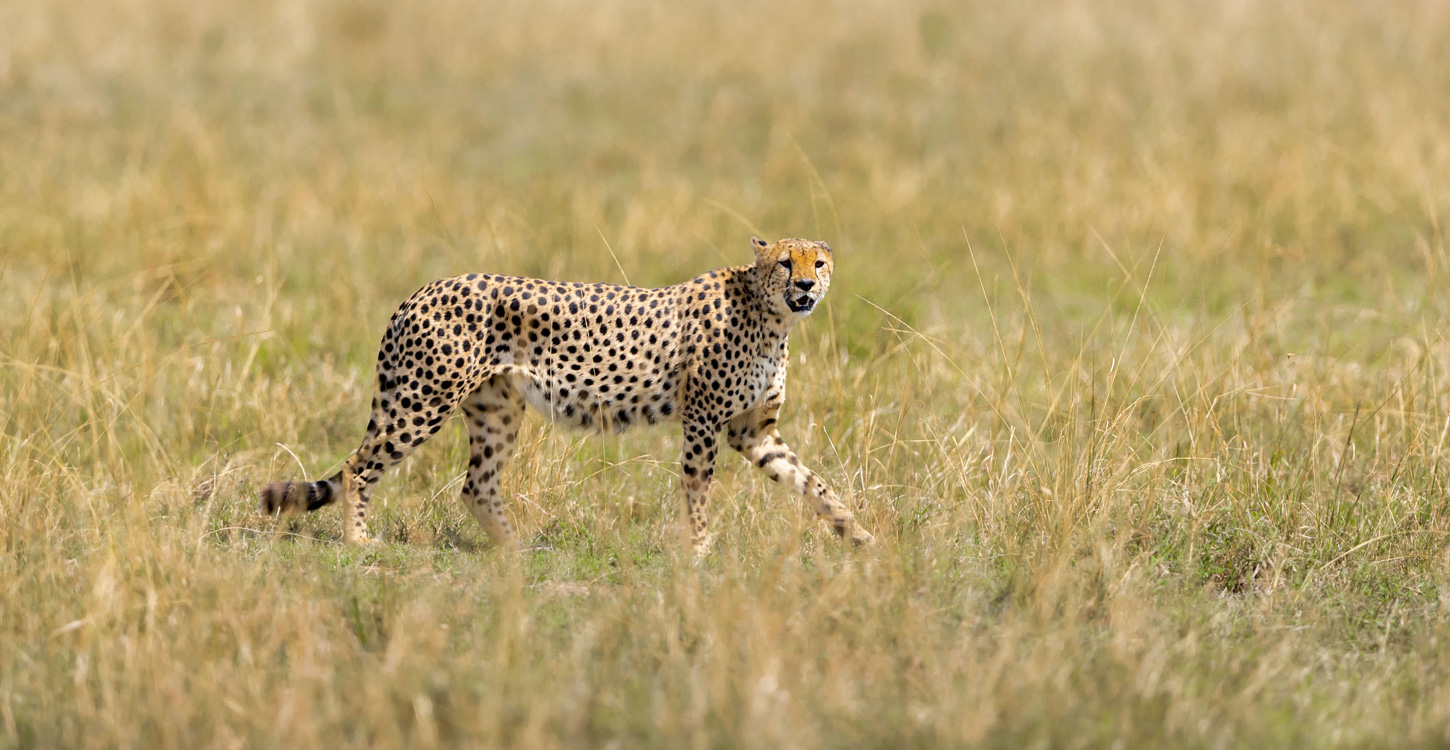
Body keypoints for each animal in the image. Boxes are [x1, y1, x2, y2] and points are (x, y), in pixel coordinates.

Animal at [258, 236, 875, 556]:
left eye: (818, 261)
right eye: (785, 262)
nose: (806, 285)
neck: (771, 316)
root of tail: (423, 288)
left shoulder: (755, 432)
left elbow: (812, 482)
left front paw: (859, 534)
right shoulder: (702, 422)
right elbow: (699, 489)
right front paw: (699, 551)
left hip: (495, 411)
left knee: (476, 485)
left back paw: (516, 551)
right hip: (423, 400)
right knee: (357, 467)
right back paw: (359, 541)